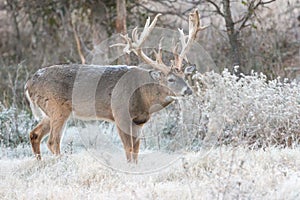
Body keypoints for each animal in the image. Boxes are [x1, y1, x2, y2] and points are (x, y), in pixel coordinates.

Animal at [25, 9, 204, 162]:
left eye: (185, 77)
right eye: (170, 79)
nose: (188, 90)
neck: (143, 97)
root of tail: (29, 84)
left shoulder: (139, 121)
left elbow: (136, 149)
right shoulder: (119, 114)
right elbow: (128, 149)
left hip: (48, 112)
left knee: (34, 134)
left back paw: (40, 163)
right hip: (57, 108)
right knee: (52, 141)